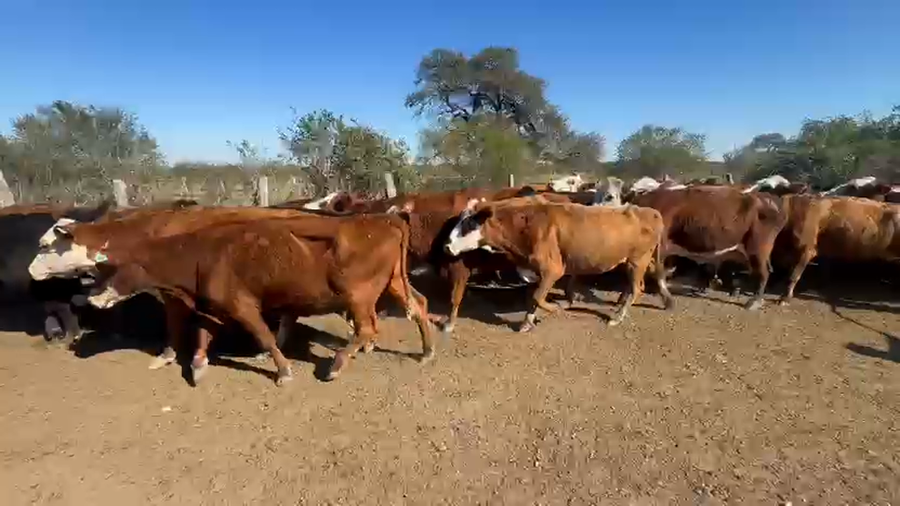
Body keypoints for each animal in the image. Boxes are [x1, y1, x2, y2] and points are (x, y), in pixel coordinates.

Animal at [29, 211, 435, 384]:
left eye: (47, 244)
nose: (92, 301)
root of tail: (382, 219)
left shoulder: (234, 306)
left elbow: (261, 335)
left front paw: (283, 371)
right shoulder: (212, 307)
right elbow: (204, 334)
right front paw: (196, 365)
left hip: (357, 295)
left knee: (367, 327)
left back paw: (336, 364)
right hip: (392, 284)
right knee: (418, 307)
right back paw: (426, 351)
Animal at [443, 198, 673, 332]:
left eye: (468, 224)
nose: (446, 246)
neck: (526, 225)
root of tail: (651, 212)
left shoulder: (552, 270)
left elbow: (537, 297)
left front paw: (555, 309)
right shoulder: (536, 272)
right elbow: (532, 297)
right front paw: (527, 322)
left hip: (637, 261)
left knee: (636, 289)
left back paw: (617, 318)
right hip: (639, 261)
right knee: (642, 284)